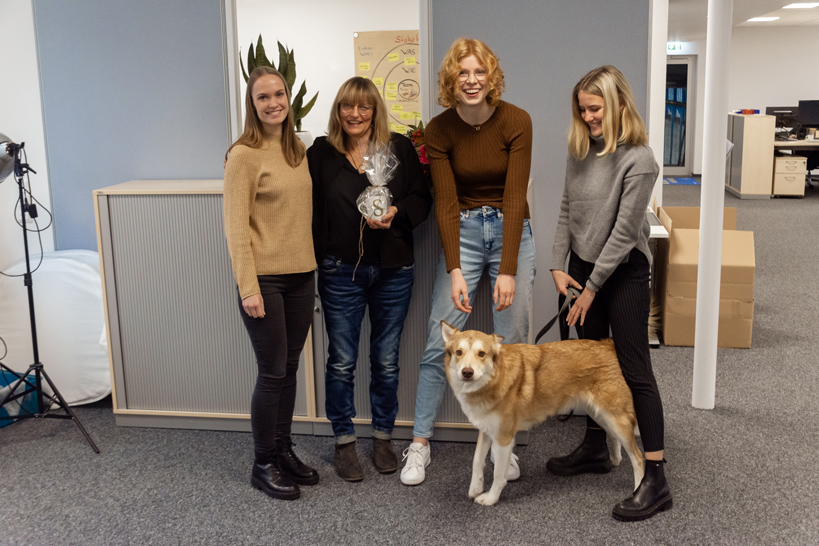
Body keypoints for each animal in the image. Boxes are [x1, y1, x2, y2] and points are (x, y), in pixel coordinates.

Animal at [442, 318, 648, 506]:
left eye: (482, 354)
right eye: (459, 352)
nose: (467, 372)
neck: (493, 379)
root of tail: (607, 344)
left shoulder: (504, 438)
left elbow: (498, 474)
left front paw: (491, 498)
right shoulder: (486, 430)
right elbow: (477, 461)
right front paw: (475, 489)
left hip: (615, 418)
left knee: (638, 458)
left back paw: (637, 490)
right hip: (599, 414)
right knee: (614, 439)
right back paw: (615, 459)